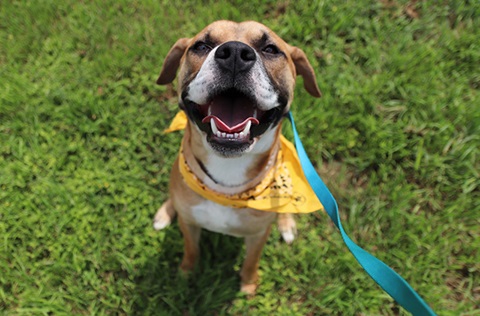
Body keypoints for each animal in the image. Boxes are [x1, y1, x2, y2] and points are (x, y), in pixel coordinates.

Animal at [152, 21, 320, 296]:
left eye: (270, 49)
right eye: (201, 46)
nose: (234, 54)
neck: (227, 180)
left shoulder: (258, 233)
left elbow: (251, 260)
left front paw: (248, 285)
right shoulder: (189, 223)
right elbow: (191, 250)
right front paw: (186, 274)